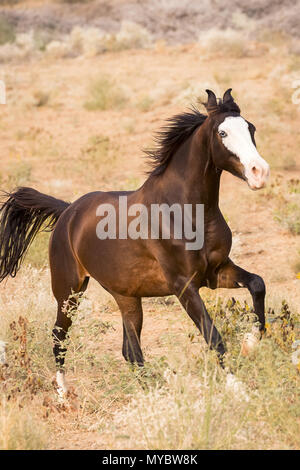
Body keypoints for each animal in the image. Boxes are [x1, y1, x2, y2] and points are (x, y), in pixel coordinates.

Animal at [0, 89, 270, 396]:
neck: (183, 211)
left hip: (126, 298)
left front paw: (250, 345)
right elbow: (213, 335)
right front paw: (238, 388)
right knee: (59, 337)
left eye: (251, 128)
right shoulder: (184, 285)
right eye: (222, 132)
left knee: (130, 350)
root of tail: (68, 212)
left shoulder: (216, 272)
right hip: (68, 291)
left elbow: (257, 284)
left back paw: (151, 390)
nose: (259, 172)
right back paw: (63, 394)